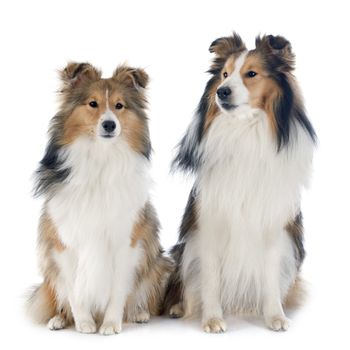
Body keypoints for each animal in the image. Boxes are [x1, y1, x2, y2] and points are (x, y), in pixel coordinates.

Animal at [26, 62, 172, 334]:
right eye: (92, 104)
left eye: (119, 105)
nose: (109, 125)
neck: (101, 157)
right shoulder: (63, 243)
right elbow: (75, 292)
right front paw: (84, 323)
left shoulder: (126, 241)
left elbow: (117, 290)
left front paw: (111, 324)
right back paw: (59, 319)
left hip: (158, 264)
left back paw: (139, 313)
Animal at [164, 33, 318, 334]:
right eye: (225, 74)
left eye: (251, 74)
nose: (221, 92)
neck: (245, 130)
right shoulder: (208, 223)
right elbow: (210, 278)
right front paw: (212, 318)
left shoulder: (272, 224)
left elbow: (270, 275)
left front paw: (275, 316)